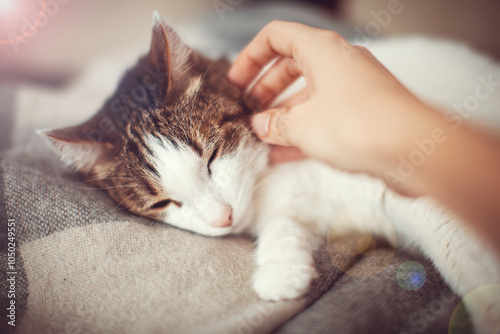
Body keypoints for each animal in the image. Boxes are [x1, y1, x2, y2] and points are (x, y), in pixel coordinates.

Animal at [40, 12, 500, 332]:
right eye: (163, 202)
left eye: (212, 156)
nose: (222, 218)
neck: (269, 179)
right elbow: (285, 225)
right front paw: (282, 269)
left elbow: (456, 247)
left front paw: (489, 306)